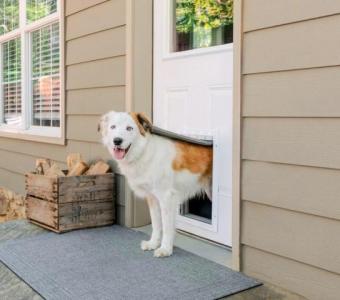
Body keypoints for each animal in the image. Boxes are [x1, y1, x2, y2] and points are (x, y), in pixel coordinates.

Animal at [98, 111, 211, 256]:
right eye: (113, 127)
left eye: (129, 128)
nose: (117, 141)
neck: (145, 152)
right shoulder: (152, 198)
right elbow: (156, 224)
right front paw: (153, 243)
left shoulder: (166, 197)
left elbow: (167, 226)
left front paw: (165, 249)